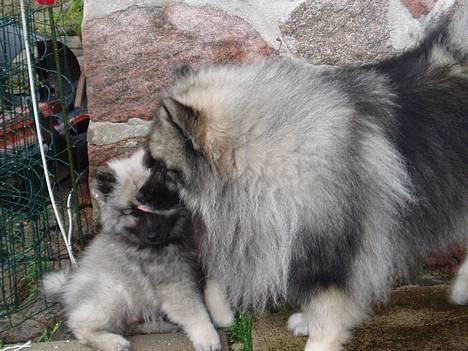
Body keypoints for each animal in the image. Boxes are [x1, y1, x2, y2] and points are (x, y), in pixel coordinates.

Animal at [41, 149, 233, 351]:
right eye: (133, 212)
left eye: (156, 205)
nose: (152, 236)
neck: (178, 234)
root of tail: (67, 287)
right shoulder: (174, 282)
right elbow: (194, 311)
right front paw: (207, 337)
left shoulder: (207, 260)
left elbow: (215, 290)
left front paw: (223, 317)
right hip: (113, 292)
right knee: (81, 326)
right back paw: (113, 342)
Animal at [139, 18, 468, 351]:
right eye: (151, 164)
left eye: (163, 169)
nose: (139, 197)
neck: (276, 154)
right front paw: (306, 322)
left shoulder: (329, 254)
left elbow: (326, 314)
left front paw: (319, 338)